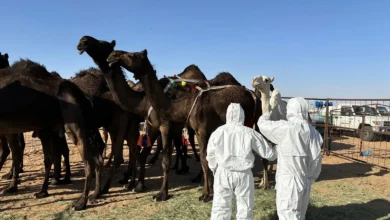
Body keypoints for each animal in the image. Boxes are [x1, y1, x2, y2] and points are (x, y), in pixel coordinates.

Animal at [0, 59, 105, 211]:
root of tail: (83, 96)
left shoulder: (9, 128)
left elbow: (13, 153)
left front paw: (11, 187)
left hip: (74, 124)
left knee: (89, 161)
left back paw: (81, 202)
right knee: (97, 156)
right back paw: (95, 193)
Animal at [104, 49, 262, 203]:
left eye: (133, 55)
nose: (113, 55)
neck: (183, 105)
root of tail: (252, 94)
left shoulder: (198, 130)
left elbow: (202, 160)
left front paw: (203, 195)